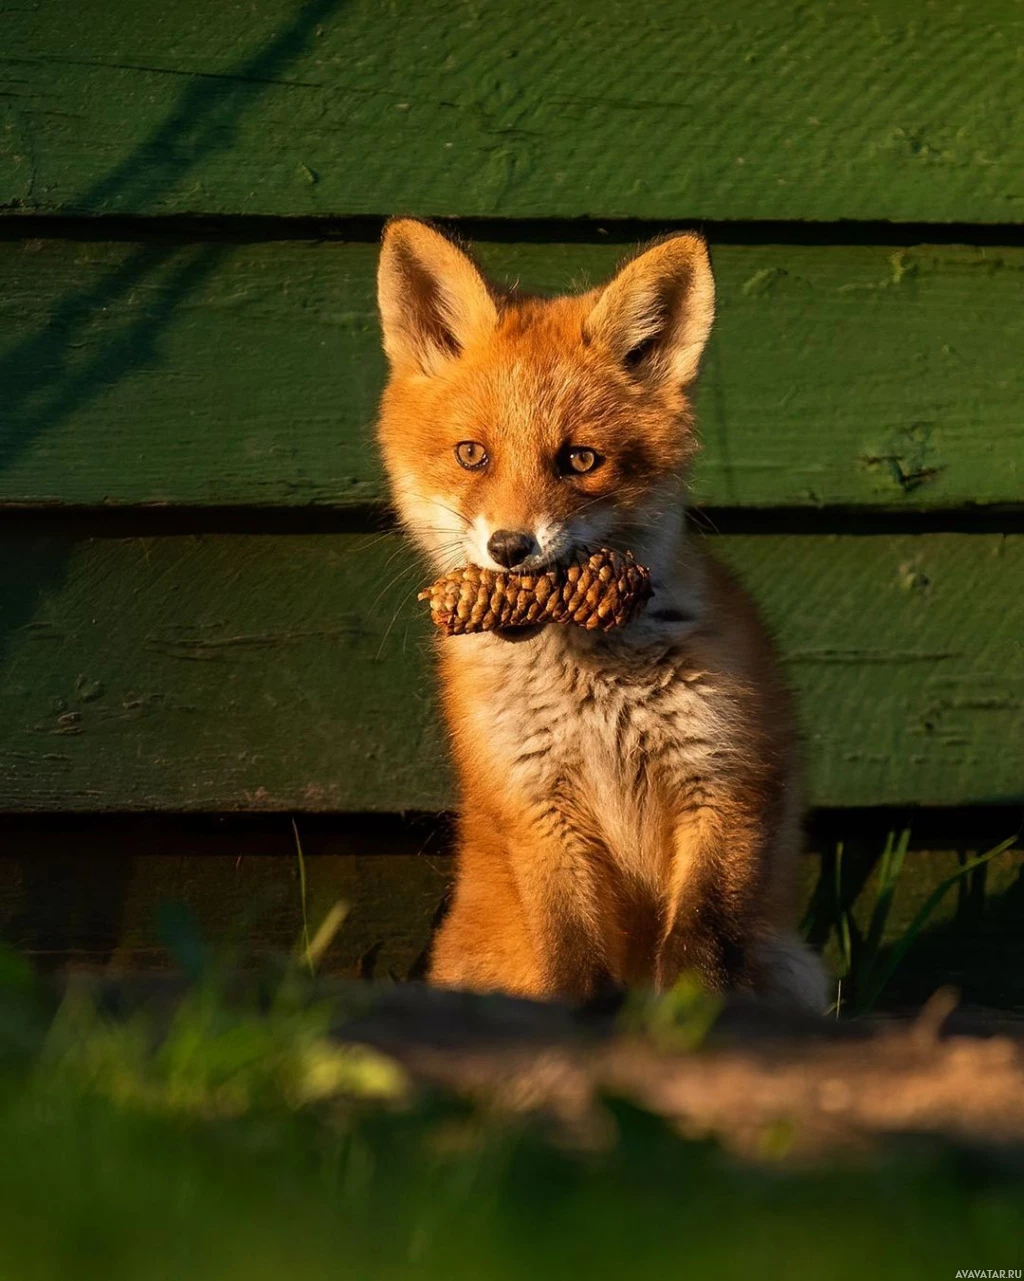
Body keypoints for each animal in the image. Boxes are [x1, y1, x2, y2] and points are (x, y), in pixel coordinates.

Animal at [379, 220, 830, 1014]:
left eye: (580, 460)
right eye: (472, 454)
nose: (510, 548)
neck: (589, 689)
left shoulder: (725, 783)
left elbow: (699, 946)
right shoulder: (539, 809)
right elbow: (573, 961)